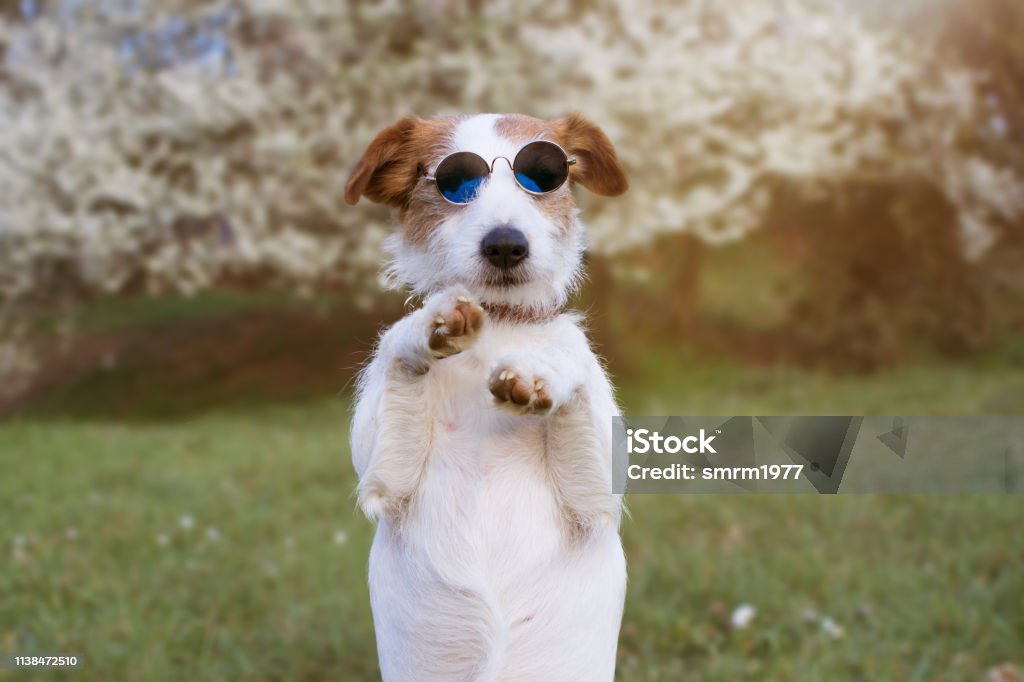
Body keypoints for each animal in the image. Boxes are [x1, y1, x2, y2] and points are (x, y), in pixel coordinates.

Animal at [348, 111, 626, 679]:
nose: (505, 243)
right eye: (454, 182)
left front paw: (543, 369)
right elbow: (396, 343)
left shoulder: (597, 499)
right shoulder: (385, 476)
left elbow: (571, 359)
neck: (498, 325)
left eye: (544, 175)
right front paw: (429, 323)